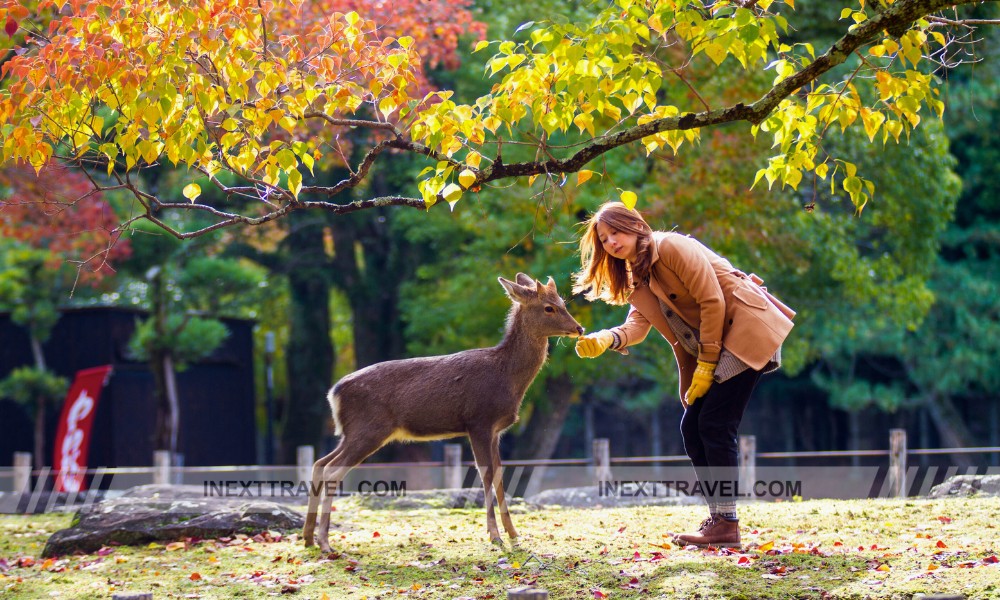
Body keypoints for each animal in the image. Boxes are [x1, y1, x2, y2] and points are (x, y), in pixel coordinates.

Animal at [304, 274, 584, 552]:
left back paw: (309, 538)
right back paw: (325, 542)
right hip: (369, 428)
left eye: (563, 302)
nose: (579, 328)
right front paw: (495, 536)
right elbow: (486, 475)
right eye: (548, 308)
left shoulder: (496, 430)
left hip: (352, 432)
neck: (507, 377)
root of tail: (334, 393)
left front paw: (515, 535)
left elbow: (500, 477)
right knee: (332, 470)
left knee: (319, 463)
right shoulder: (478, 421)